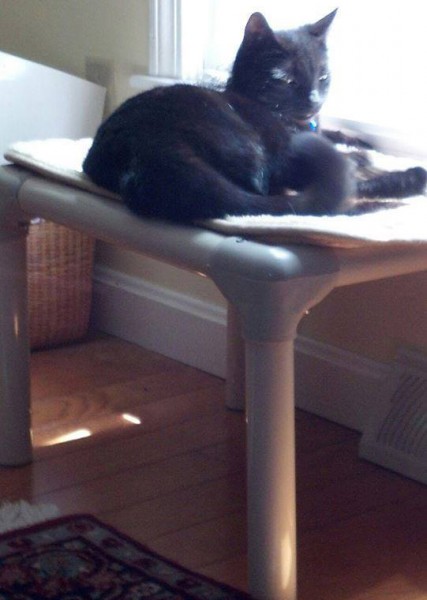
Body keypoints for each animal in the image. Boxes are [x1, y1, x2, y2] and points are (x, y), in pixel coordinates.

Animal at [83, 9, 424, 223]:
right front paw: (380, 164)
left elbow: (337, 136)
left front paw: (361, 142)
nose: (314, 101)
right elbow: (357, 169)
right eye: (287, 81)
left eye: (323, 77)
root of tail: (145, 150)